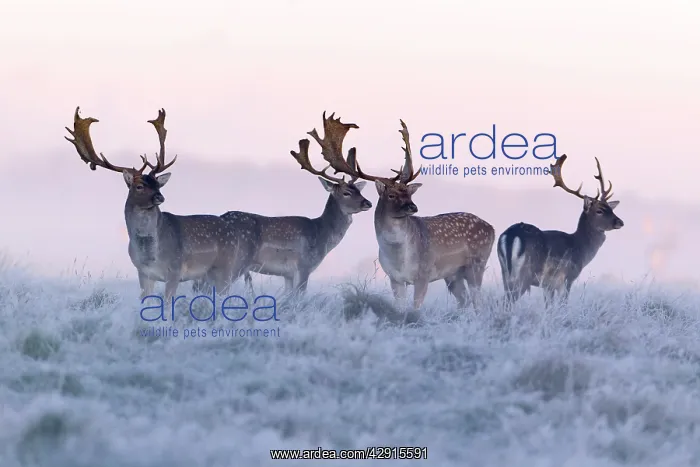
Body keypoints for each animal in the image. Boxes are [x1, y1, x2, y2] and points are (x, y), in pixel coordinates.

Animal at [64, 107, 259, 305]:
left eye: (158, 184)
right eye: (139, 186)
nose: (160, 197)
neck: (150, 255)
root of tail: (234, 231)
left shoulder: (175, 269)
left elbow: (167, 302)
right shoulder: (143, 273)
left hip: (226, 266)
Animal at [192, 112, 373, 296]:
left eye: (359, 190)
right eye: (346, 193)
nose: (368, 203)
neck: (322, 235)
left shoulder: (287, 275)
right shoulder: (304, 266)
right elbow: (299, 297)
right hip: (237, 260)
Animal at [300, 119, 496, 311]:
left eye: (409, 194)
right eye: (391, 195)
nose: (413, 207)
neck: (399, 258)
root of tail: (491, 228)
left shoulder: (424, 274)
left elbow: (415, 309)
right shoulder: (394, 278)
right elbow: (400, 308)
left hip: (477, 263)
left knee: (478, 301)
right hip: (453, 274)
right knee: (464, 300)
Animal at [497, 154, 624, 306]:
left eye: (611, 208)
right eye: (599, 210)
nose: (620, 222)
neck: (580, 249)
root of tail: (510, 235)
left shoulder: (547, 285)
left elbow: (548, 306)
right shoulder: (566, 278)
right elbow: (563, 304)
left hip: (505, 272)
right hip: (524, 274)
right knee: (509, 301)